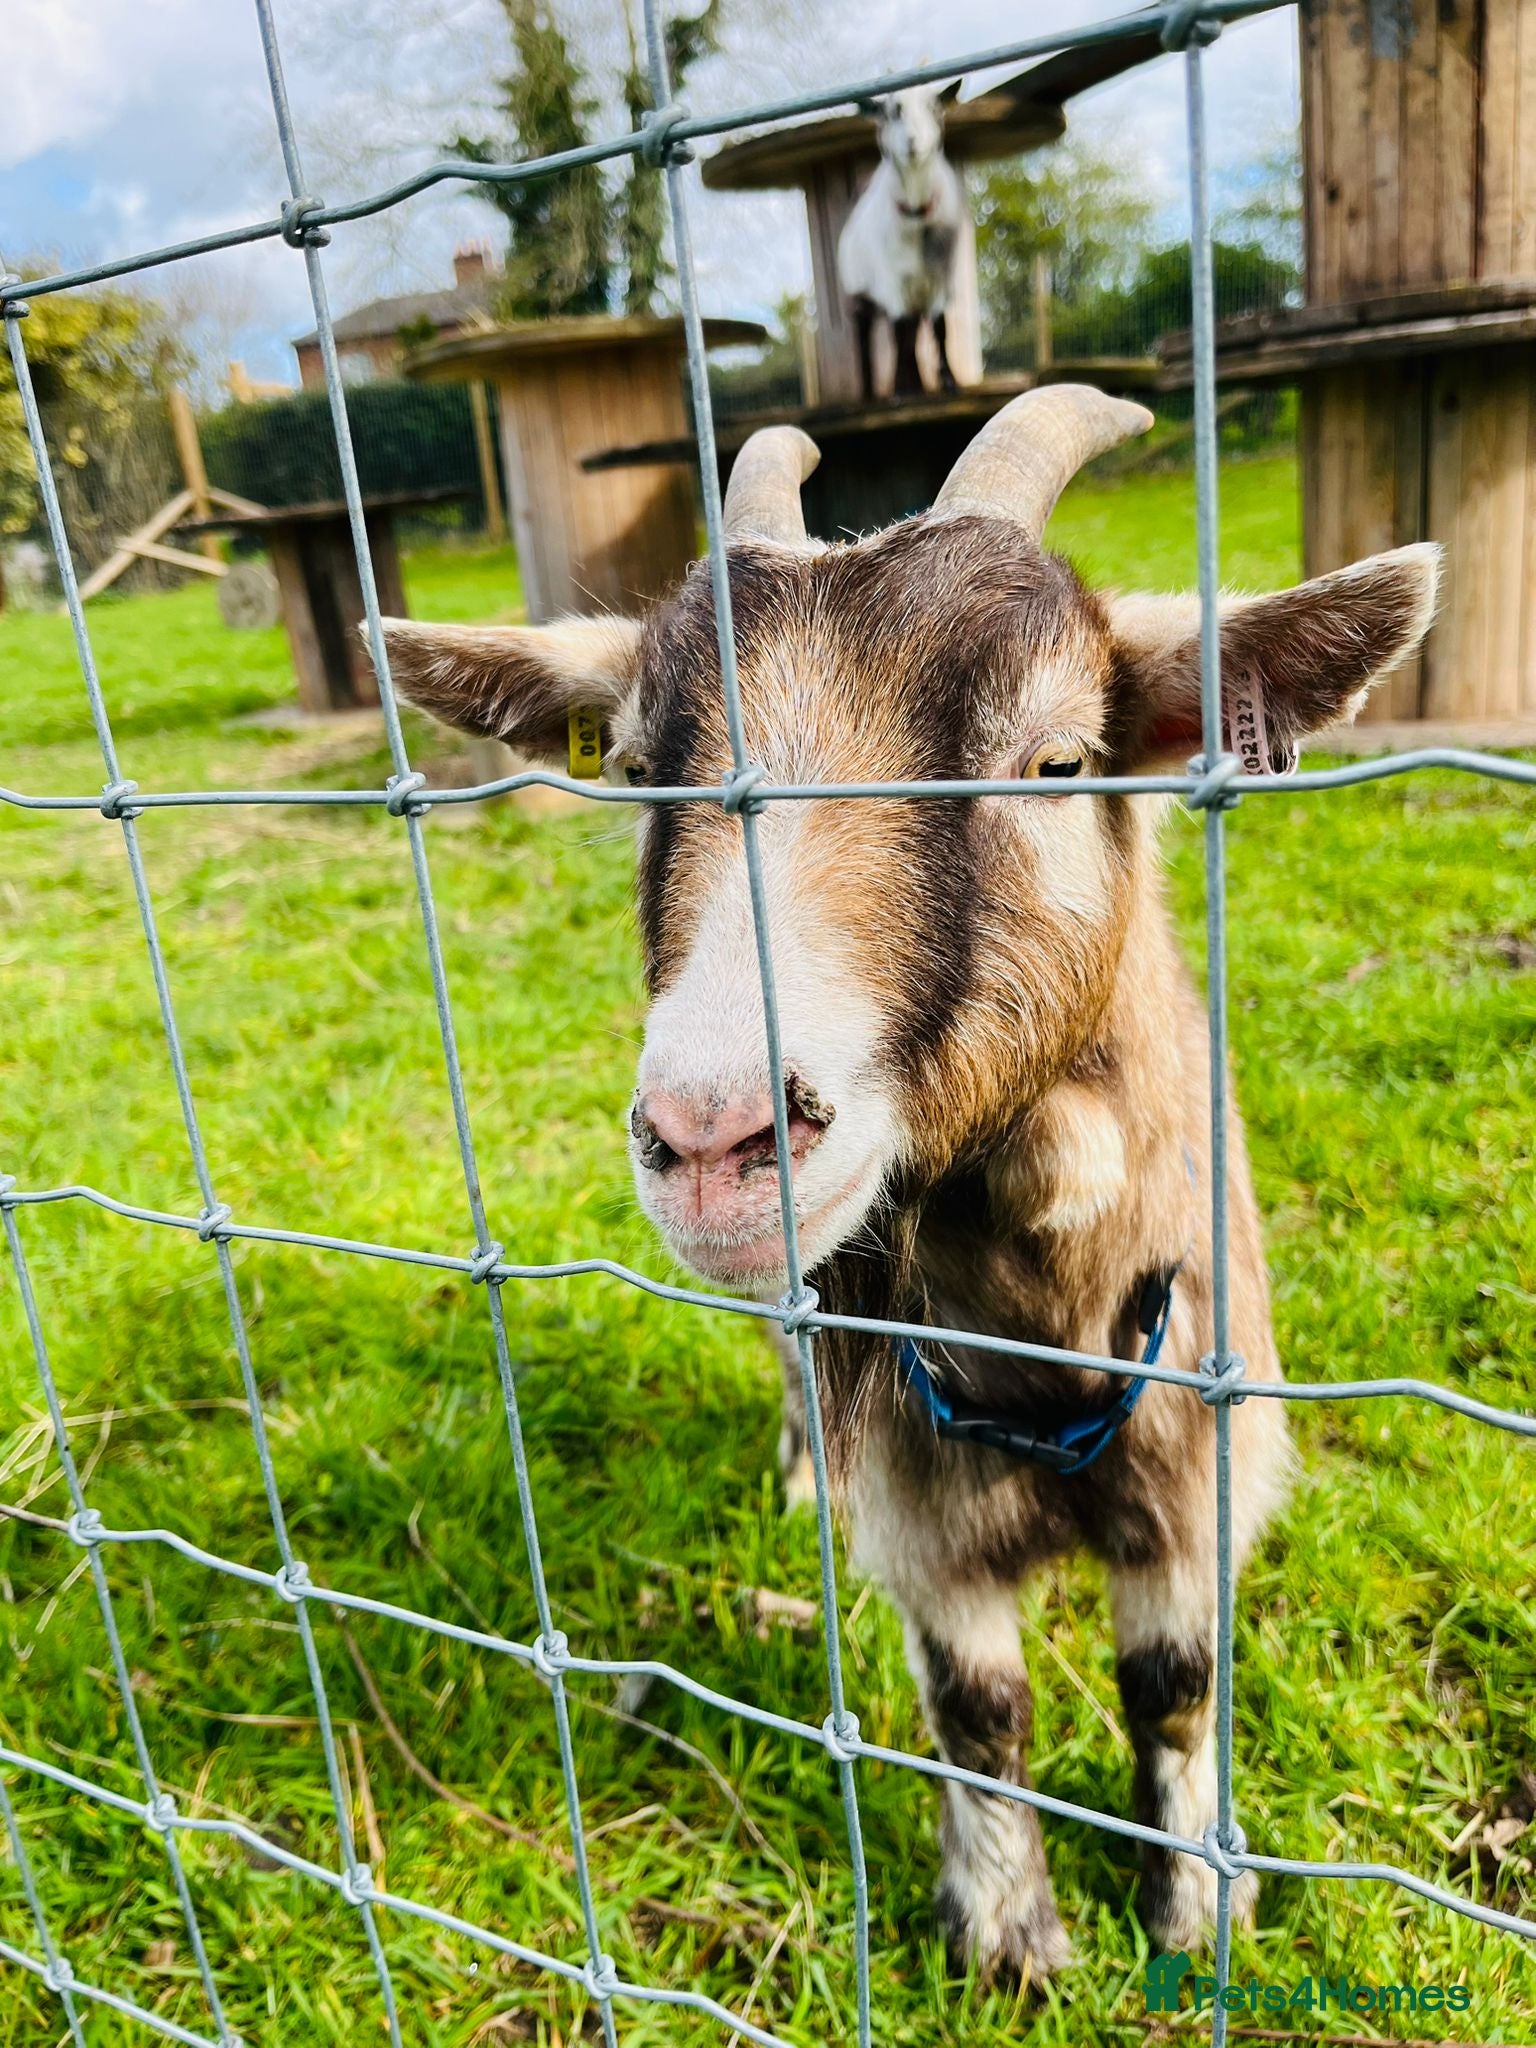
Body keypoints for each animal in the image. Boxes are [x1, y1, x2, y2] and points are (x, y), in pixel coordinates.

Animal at [380, 388, 1439, 1984]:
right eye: (636, 774)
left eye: (1057, 763)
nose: (713, 1134)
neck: (1039, 1362)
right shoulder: (926, 1524)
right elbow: (977, 1711)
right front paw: (1007, 1934)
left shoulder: (1201, 1466)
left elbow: (1176, 1681)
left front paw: (1197, 1905)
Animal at [837, 84, 967, 400]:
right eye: (894, 111)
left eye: (934, 108)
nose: (912, 141)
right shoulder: (893, 283)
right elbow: (899, 333)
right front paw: (902, 390)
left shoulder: (942, 279)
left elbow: (939, 328)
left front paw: (949, 383)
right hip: (858, 291)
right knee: (866, 334)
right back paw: (872, 392)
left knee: (912, 331)